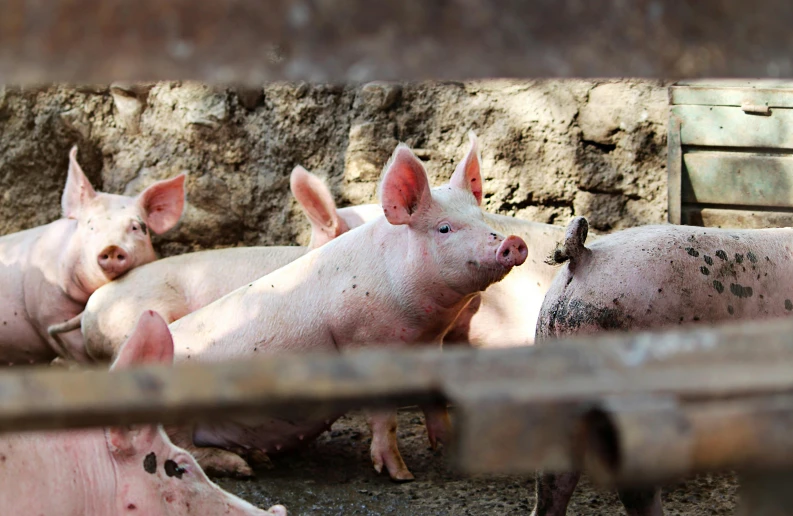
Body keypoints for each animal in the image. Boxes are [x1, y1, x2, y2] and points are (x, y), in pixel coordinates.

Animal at [162, 134, 524, 480]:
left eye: (482, 219)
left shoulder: (431, 344)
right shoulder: (364, 341)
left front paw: (449, 452)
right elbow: (384, 417)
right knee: (182, 449)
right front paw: (401, 476)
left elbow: (435, 400)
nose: (513, 242)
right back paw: (242, 467)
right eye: (444, 228)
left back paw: (257, 459)